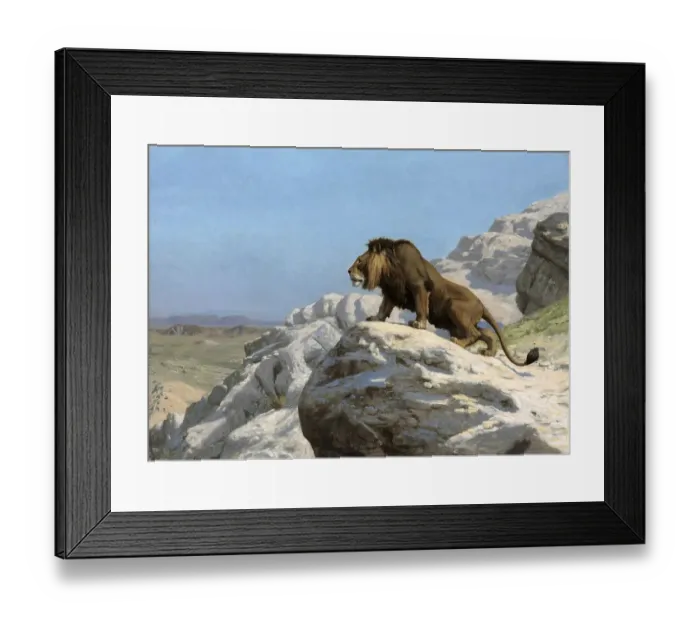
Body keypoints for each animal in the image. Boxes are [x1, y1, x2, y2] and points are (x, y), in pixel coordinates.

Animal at [347, 237, 539, 367]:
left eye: (359, 261)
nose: (348, 271)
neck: (389, 270)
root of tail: (481, 304)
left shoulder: (419, 286)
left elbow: (421, 306)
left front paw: (418, 324)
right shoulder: (392, 292)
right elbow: (384, 308)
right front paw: (374, 318)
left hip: (454, 307)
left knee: (475, 334)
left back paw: (458, 342)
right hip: (460, 322)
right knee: (486, 333)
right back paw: (488, 352)